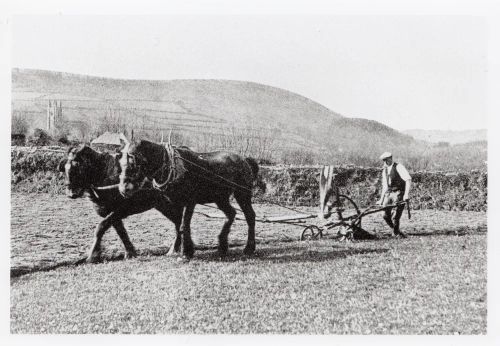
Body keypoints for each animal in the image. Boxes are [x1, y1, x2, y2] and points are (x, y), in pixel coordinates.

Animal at [117, 139, 258, 258]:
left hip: (242, 194)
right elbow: (178, 225)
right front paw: (178, 249)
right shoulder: (176, 202)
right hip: (220, 198)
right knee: (231, 214)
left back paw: (249, 248)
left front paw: (186, 252)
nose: (124, 189)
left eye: (134, 162)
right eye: (121, 164)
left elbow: (184, 225)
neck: (171, 165)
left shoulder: (190, 202)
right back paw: (222, 246)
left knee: (250, 216)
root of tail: (244, 159)